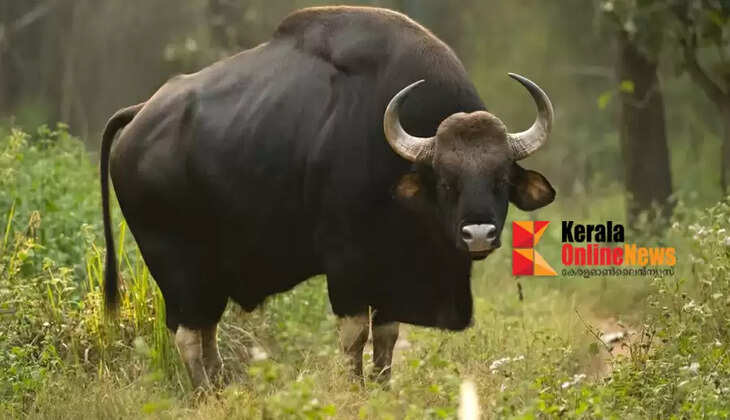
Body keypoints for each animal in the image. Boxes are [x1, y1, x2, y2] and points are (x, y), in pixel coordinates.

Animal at [100, 6, 555, 388]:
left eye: (500, 178)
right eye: (445, 181)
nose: (478, 234)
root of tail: (141, 113)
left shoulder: (391, 276)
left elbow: (387, 339)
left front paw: (382, 387)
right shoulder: (346, 267)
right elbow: (354, 337)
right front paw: (355, 387)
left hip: (207, 274)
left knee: (206, 332)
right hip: (177, 267)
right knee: (189, 335)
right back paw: (206, 393)